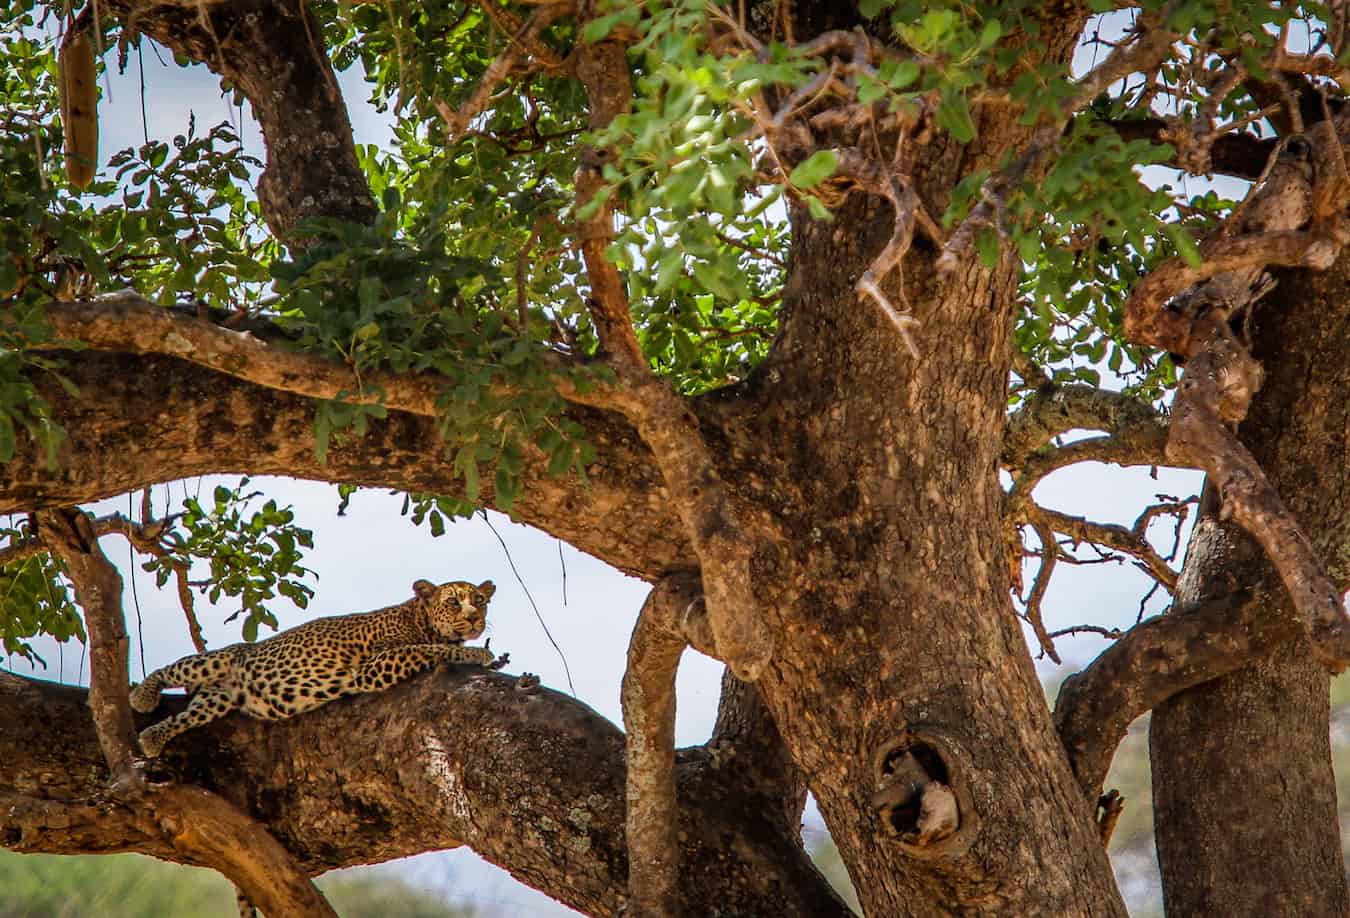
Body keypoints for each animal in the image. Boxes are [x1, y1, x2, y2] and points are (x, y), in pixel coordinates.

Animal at [130, 577, 507, 756]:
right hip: (216, 660)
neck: (420, 618)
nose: (474, 619)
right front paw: (480, 655)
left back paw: (152, 737)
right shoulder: (374, 665)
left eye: (480, 601)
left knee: (189, 714)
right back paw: (143, 697)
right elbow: (429, 649)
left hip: (220, 698)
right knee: (171, 668)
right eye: (454, 602)